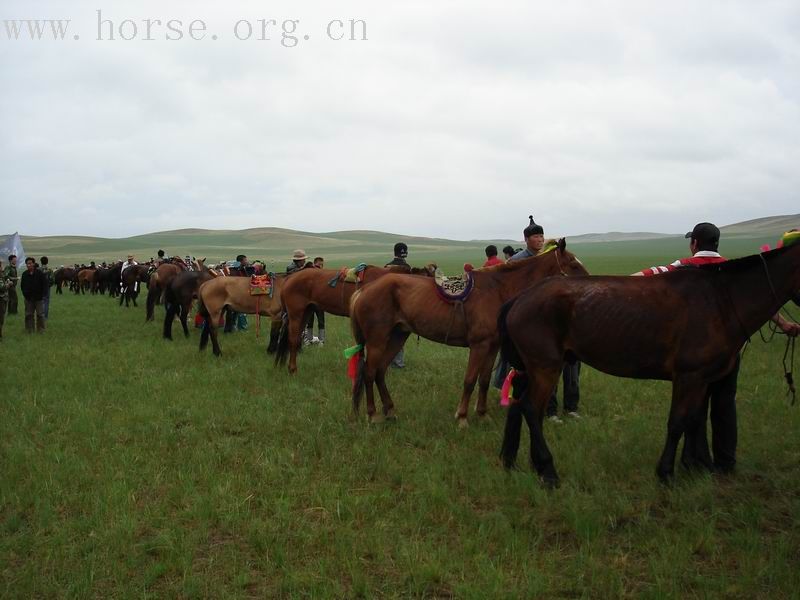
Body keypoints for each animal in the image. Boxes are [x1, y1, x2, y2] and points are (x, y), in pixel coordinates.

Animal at [350, 240, 588, 426]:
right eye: (574, 264)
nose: (589, 285)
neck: (498, 290)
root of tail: (365, 289)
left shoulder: (492, 346)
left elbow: (484, 380)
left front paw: (482, 415)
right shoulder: (479, 345)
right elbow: (470, 380)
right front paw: (462, 417)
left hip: (397, 336)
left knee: (380, 371)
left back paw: (390, 411)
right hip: (378, 340)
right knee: (369, 372)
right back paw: (373, 414)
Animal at [500, 241, 800, 486]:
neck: (720, 300)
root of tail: (520, 297)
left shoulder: (702, 379)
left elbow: (694, 420)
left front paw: (695, 466)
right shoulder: (688, 376)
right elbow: (678, 422)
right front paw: (666, 472)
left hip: (531, 368)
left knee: (517, 406)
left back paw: (513, 461)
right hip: (546, 368)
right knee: (531, 409)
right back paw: (548, 470)